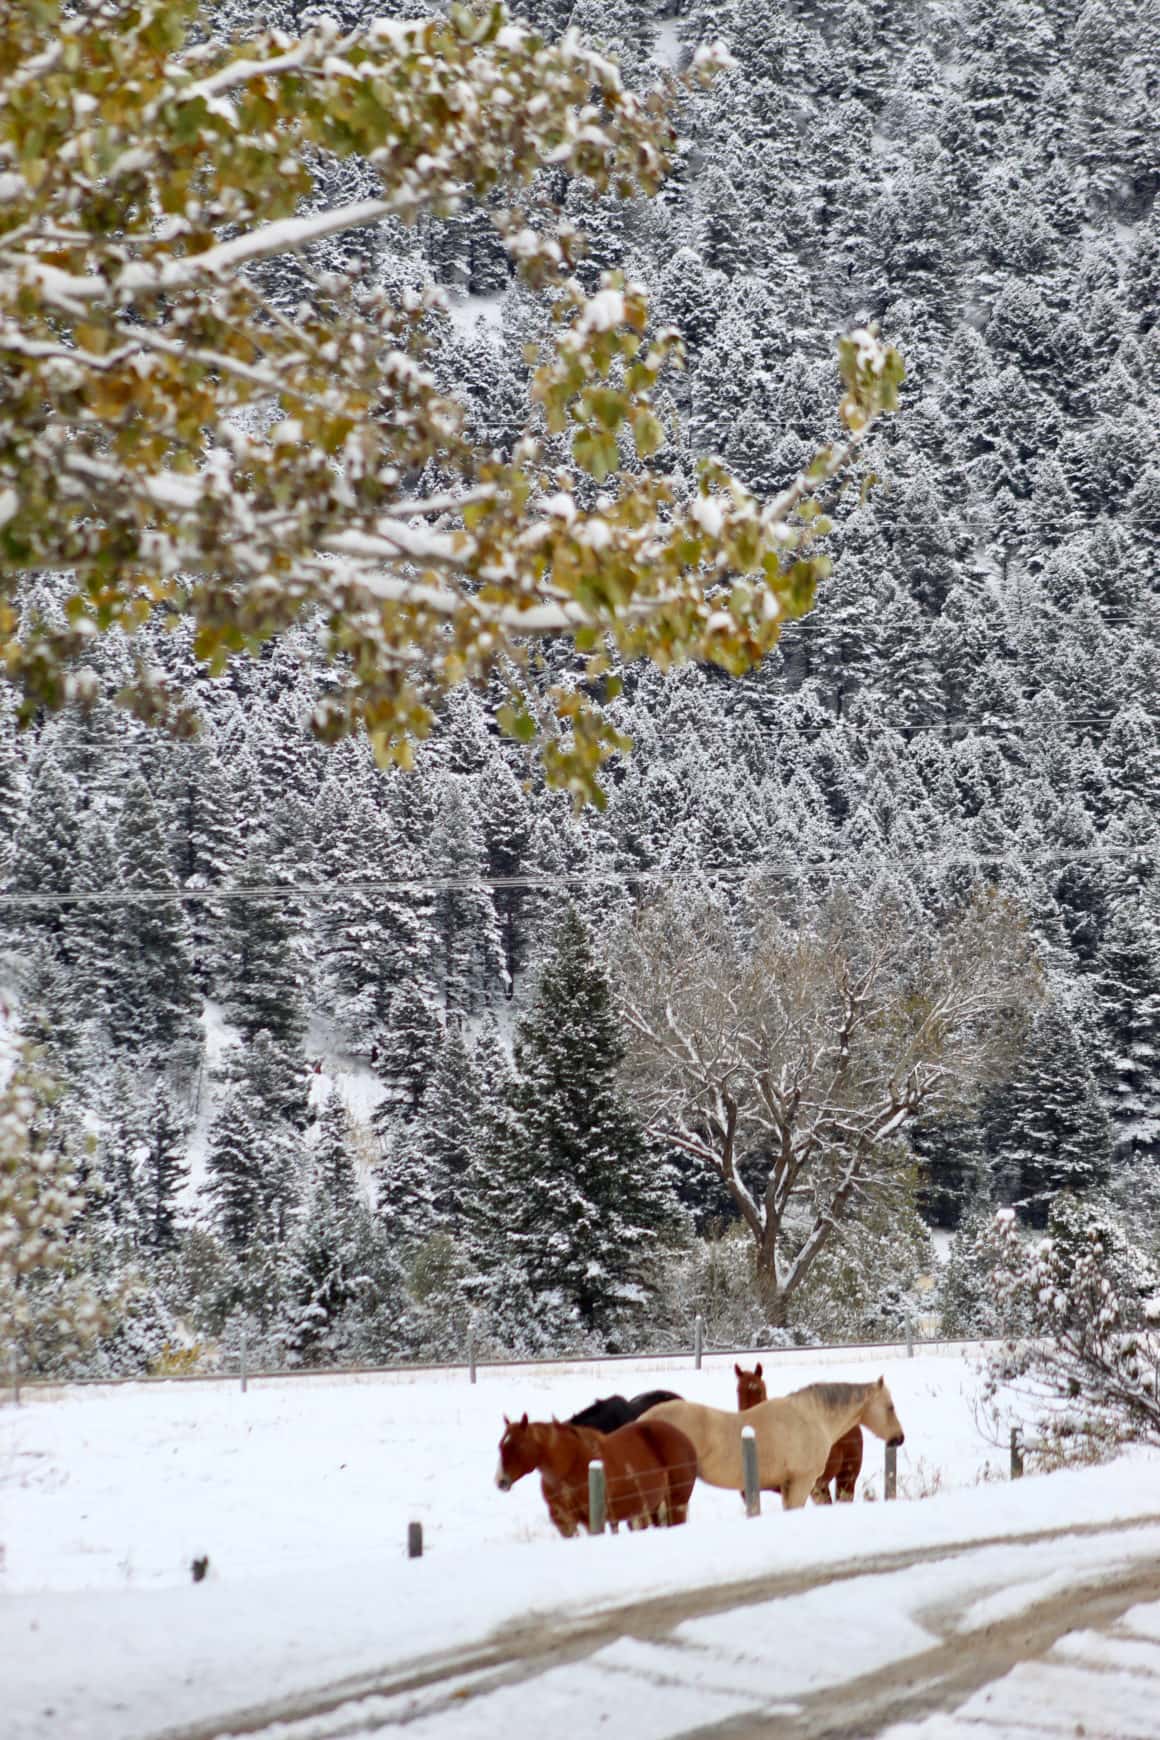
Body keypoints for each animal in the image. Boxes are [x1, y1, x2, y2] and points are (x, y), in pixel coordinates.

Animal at [495, 1413, 698, 1537]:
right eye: (501, 1445)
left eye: (518, 1446)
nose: (500, 1481)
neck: (570, 1464)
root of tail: (684, 1438)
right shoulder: (564, 1523)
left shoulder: (591, 1520)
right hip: (652, 1508)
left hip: (676, 1504)